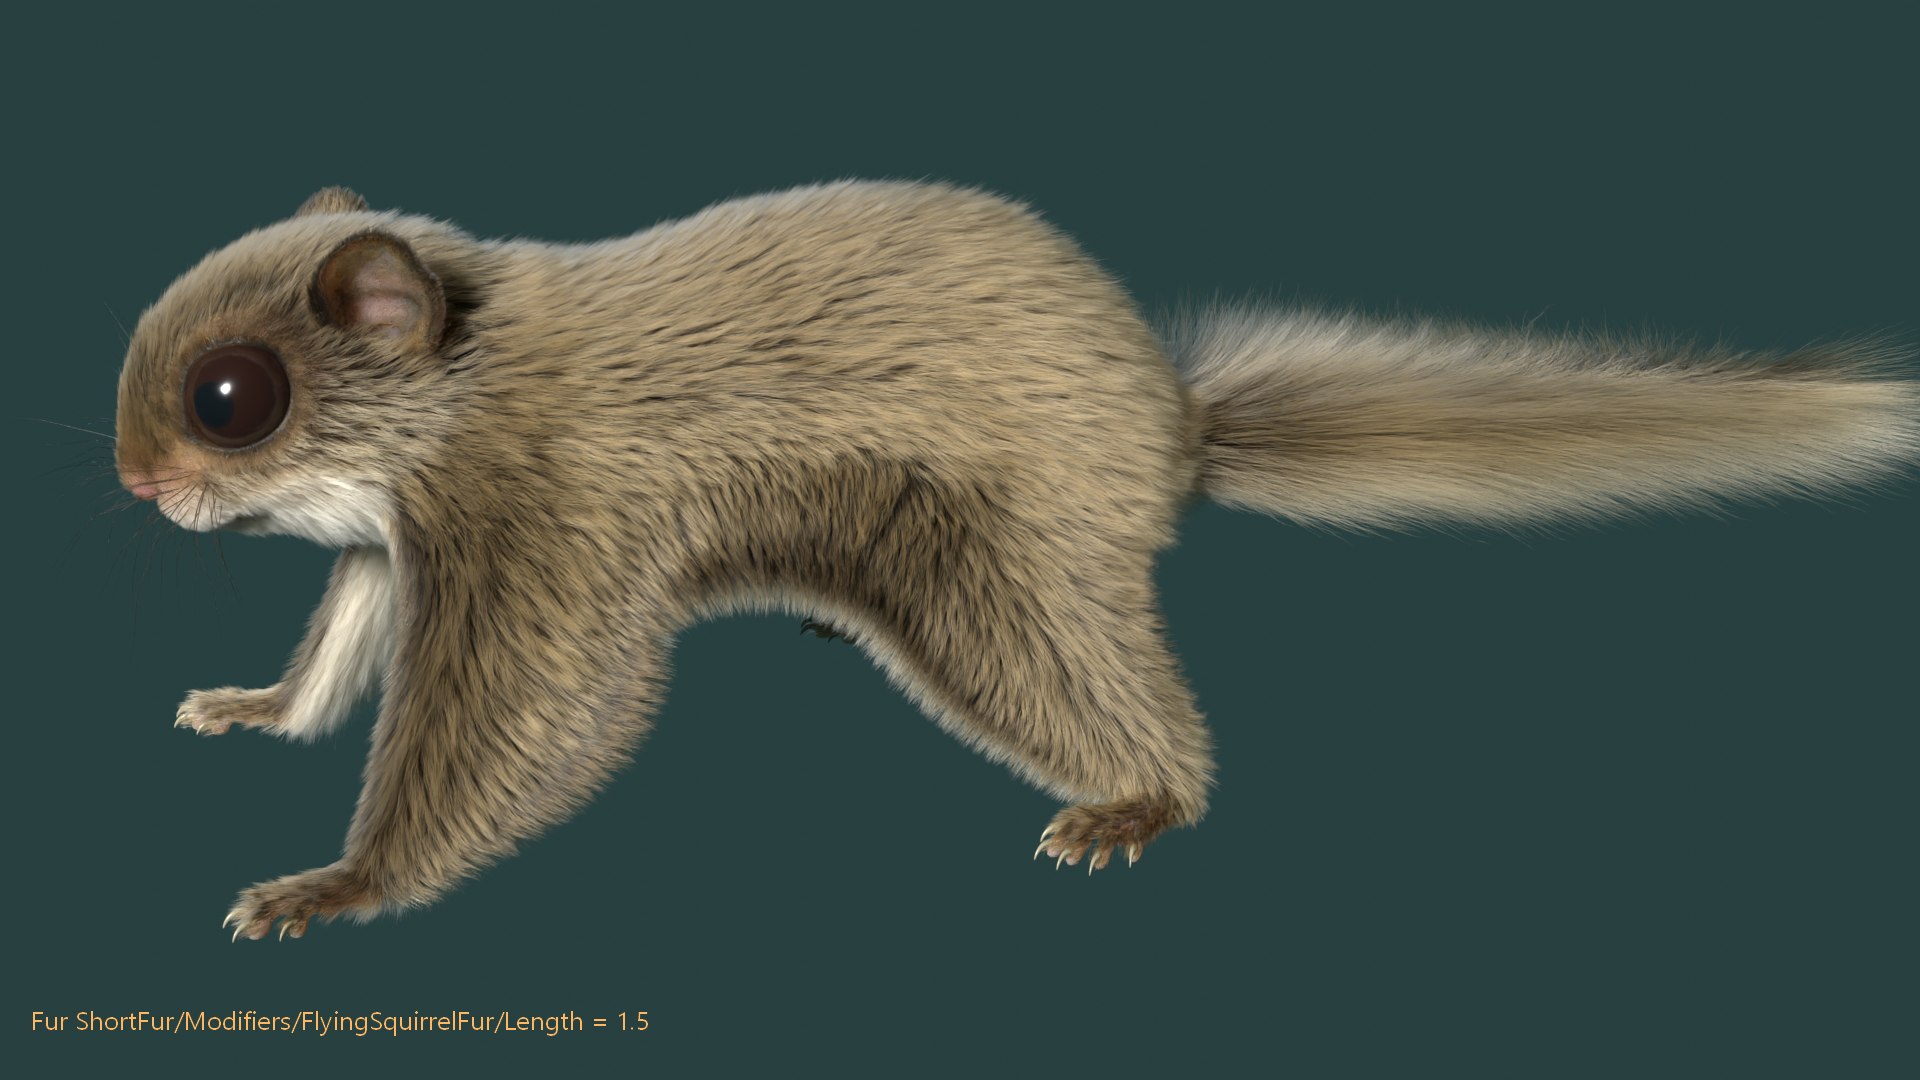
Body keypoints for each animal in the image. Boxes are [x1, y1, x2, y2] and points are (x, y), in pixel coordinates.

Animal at [114, 181, 1919, 940]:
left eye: (232, 395)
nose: (130, 479)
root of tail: (1174, 425)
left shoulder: (553, 530)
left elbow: (513, 728)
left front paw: (327, 887)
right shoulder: (392, 548)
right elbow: (334, 657)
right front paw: (250, 709)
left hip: (990, 572)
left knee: (1133, 711)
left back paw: (1128, 807)